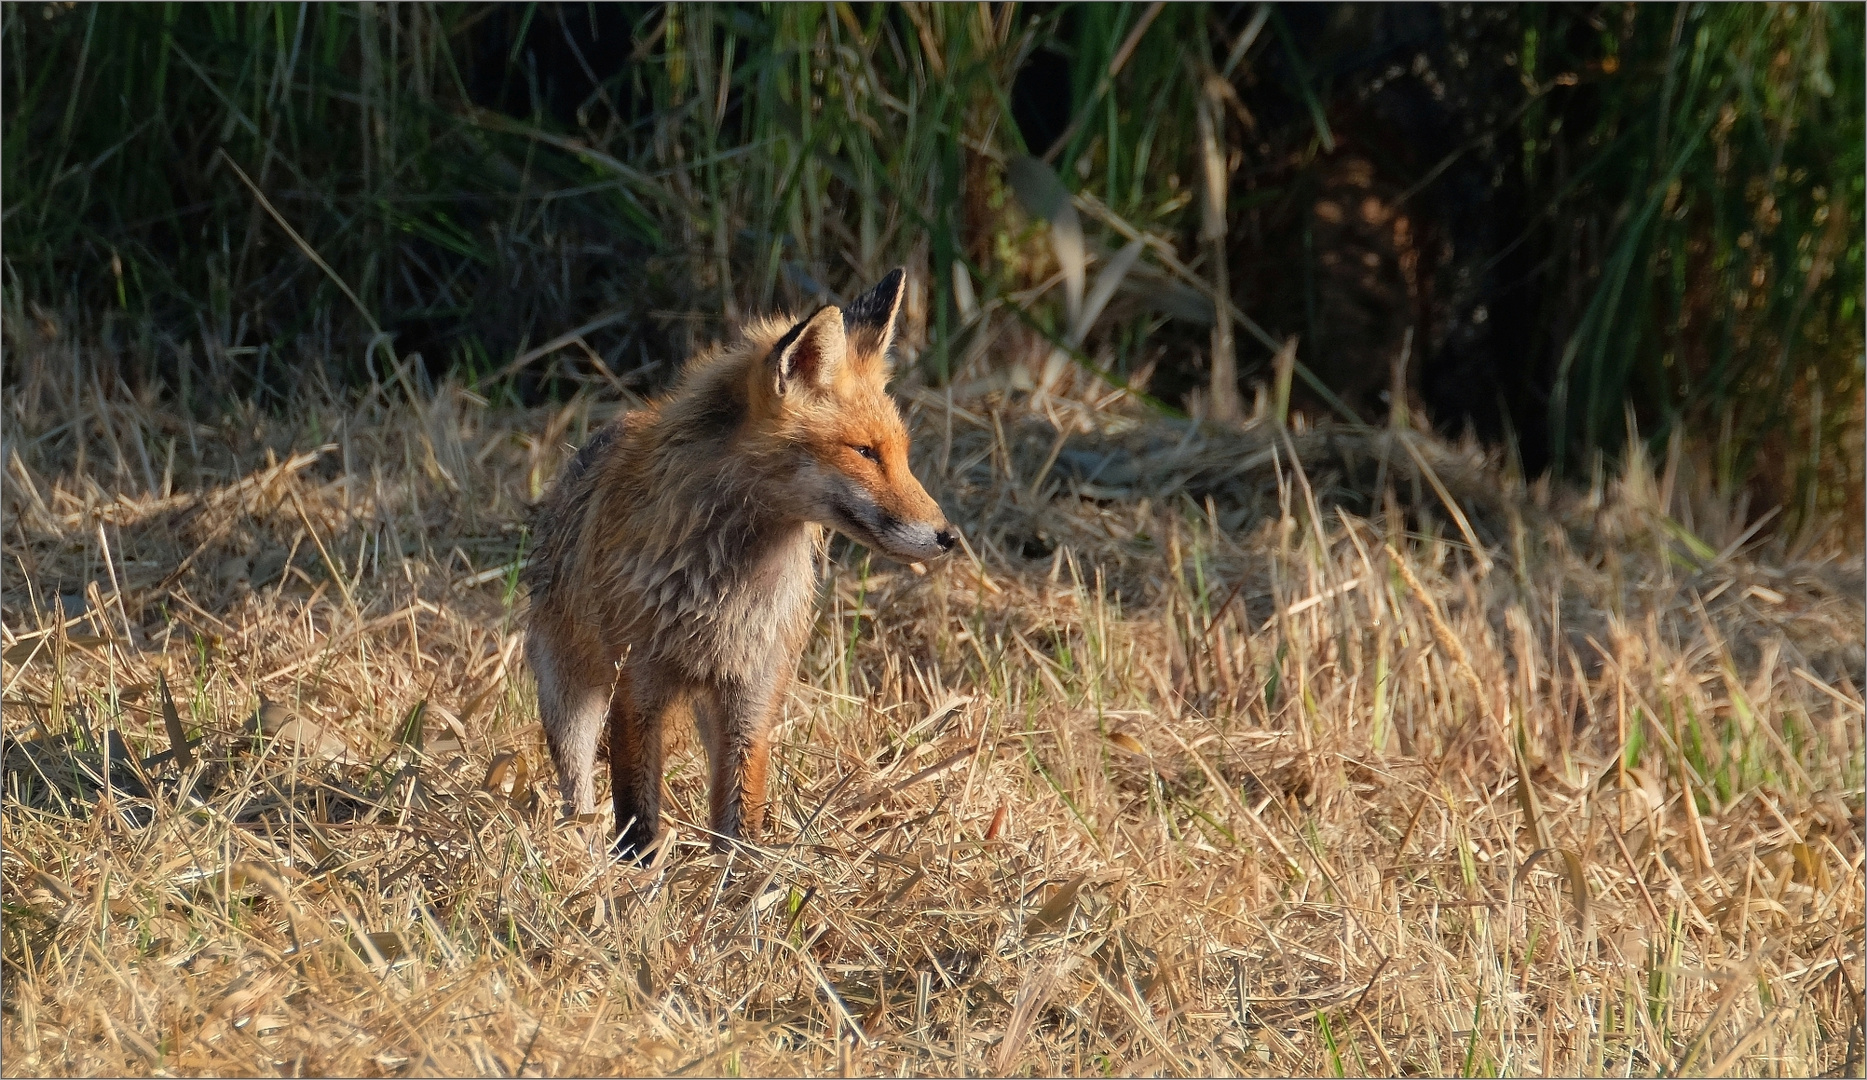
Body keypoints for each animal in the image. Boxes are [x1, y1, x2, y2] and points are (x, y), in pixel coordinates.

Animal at [530, 270, 955, 859]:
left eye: (902, 453)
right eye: (865, 452)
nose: (948, 537)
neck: (723, 586)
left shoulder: (753, 686)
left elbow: (741, 806)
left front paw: (741, 872)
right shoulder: (637, 682)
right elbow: (636, 809)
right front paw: (635, 872)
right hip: (569, 696)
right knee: (578, 792)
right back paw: (582, 848)